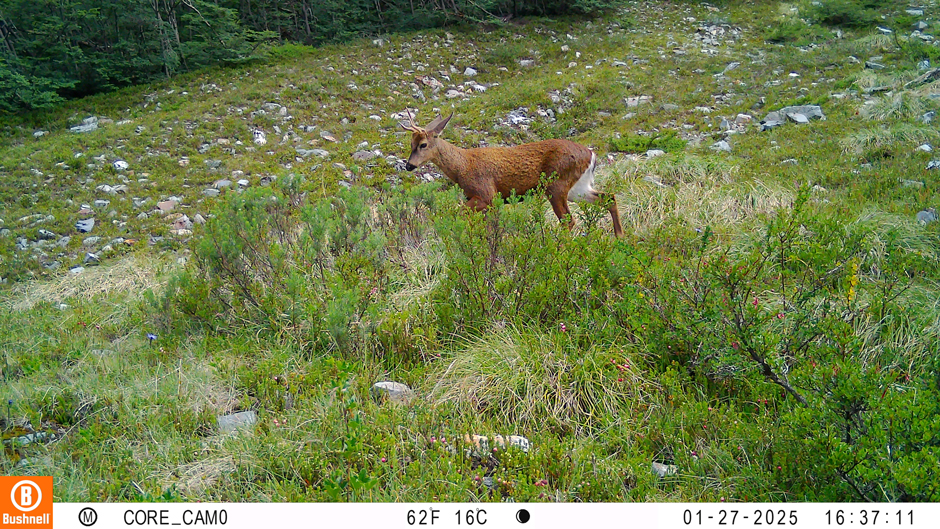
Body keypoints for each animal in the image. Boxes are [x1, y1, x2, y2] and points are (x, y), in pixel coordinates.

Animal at [400, 111, 624, 238]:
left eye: (423, 144)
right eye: (410, 143)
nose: (409, 165)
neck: (462, 166)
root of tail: (591, 154)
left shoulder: (486, 193)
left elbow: (458, 213)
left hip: (557, 184)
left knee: (568, 220)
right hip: (577, 187)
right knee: (609, 198)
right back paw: (619, 236)